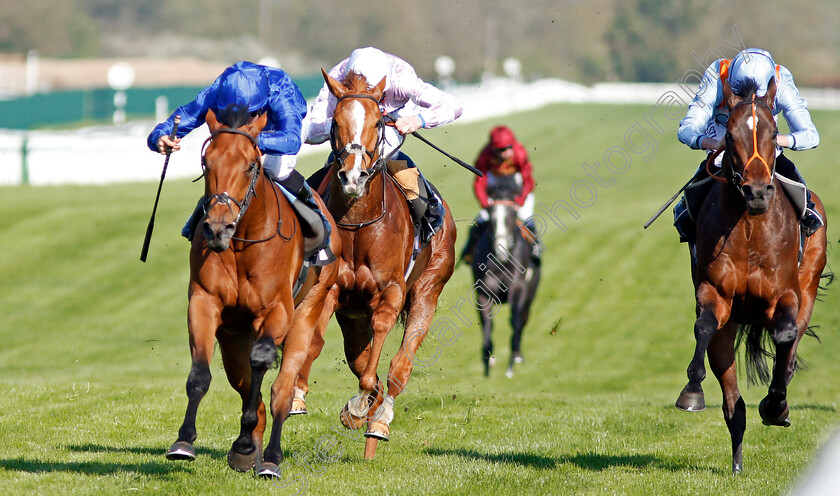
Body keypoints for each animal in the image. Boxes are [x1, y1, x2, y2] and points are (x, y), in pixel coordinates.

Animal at [164, 107, 342, 476]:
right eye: (206, 163)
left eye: (250, 164)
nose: (218, 228)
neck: (240, 242)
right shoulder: (204, 302)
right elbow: (200, 374)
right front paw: (184, 441)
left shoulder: (277, 310)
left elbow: (261, 362)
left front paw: (247, 443)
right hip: (233, 338)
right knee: (247, 386)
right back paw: (250, 451)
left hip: (308, 311)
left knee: (281, 390)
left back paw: (270, 457)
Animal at [316, 69, 460, 458]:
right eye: (335, 122)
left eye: (378, 121)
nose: (353, 177)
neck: (358, 223)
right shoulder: (337, 294)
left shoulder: (391, 291)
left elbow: (376, 361)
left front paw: (363, 408)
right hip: (353, 318)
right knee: (360, 357)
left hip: (428, 290)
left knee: (400, 366)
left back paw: (378, 423)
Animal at [470, 172, 540, 378]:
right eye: (492, 217)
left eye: (511, 216)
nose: (501, 250)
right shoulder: (483, 291)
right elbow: (487, 324)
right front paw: (487, 359)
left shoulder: (518, 288)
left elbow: (515, 321)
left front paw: (512, 361)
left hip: (530, 294)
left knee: (522, 318)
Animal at [672, 76, 832, 472]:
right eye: (729, 135)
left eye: (775, 132)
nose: (757, 191)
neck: (749, 228)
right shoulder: (715, 293)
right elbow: (703, 326)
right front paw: (691, 392)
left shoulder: (785, 294)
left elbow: (786, 335)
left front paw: (776, 405)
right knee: (733, 402)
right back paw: (737, 460)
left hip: (808, 284)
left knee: (791, 343)